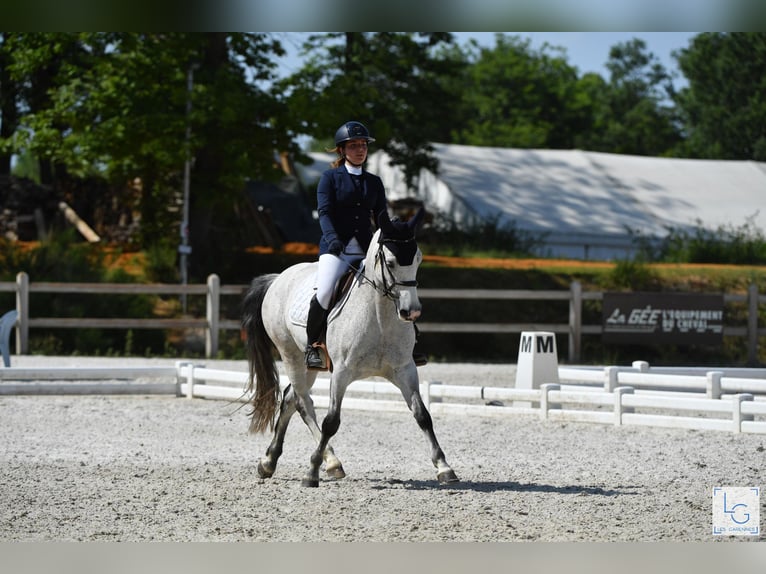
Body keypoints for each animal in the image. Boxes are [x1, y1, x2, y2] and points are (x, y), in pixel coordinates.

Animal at [240, 209, 460, 488]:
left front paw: (444, 467)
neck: (380, 318)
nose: (411, 312)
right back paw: (329, 462)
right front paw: (311, 472)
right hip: (290, 354)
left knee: (291, 397)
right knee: (302, 402)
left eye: (418, 259)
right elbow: (331, 422)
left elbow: (422, 415)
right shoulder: (341, 373)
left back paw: (270, 462)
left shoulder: (405, 369)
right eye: (390, 263)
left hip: (307, 364)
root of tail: (278, 278)